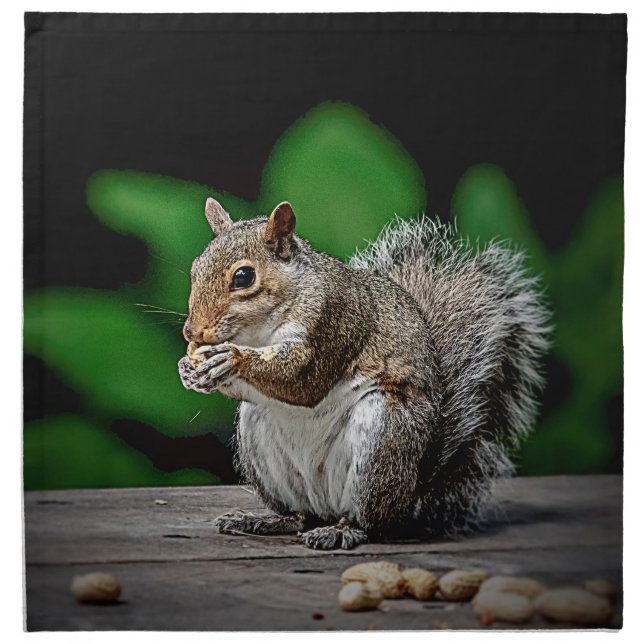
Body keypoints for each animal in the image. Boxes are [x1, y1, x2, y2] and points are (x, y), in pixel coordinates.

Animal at [178, 197, 550, 550]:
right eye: (195, 269)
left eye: (243, 277)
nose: (192, 332)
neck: (258, 331)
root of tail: (412, 498)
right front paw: (189, 370)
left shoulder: (334, 321)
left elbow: (301, 381)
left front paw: (231, 359)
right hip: (260, 435)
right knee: (300, 516)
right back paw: (266, 521)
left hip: (382, 439)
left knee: (369, 521)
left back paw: (342, 531)